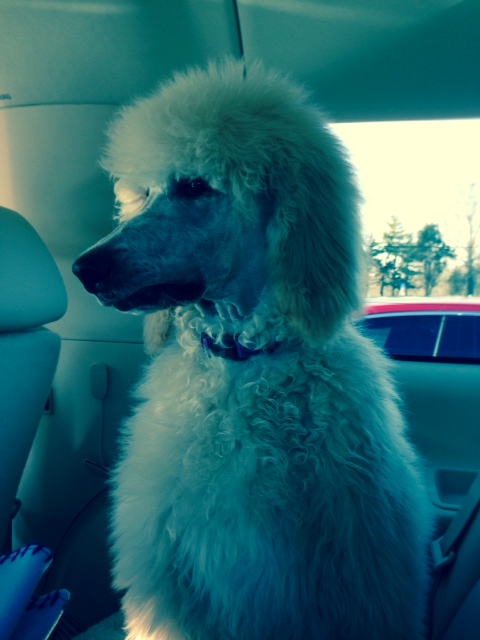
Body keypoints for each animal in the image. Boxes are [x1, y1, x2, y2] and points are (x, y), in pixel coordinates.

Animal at [73, 59, 431, 640]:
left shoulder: (348, 578)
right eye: (144, 192)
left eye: (194, 186)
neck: (242, 363)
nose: (85, 268)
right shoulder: (174, 587)